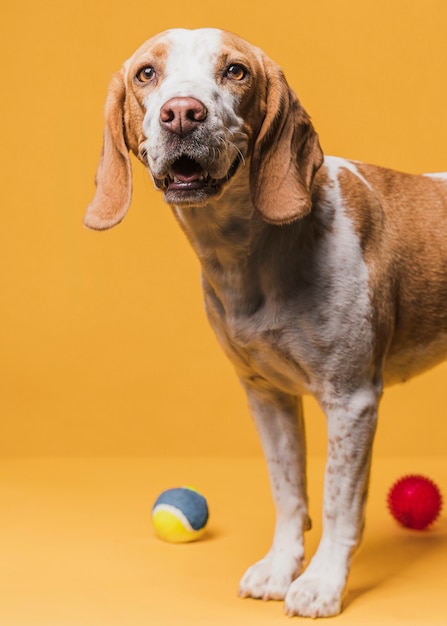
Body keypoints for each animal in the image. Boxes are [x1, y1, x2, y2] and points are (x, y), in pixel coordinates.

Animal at [84, 28, 447, 616]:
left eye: (235, 71)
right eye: (146, 74)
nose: (182, 113)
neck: (251, 254)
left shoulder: (352, 401)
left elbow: (338, 502)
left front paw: (322, 583)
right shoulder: (266, 395)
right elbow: (288, 490)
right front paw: (281, 568)